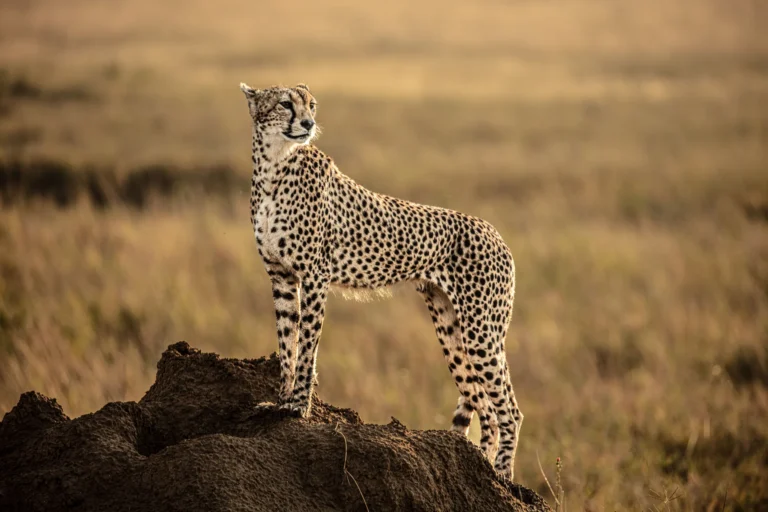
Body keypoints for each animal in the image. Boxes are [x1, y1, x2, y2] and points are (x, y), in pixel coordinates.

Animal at [240, 82, 523, 480]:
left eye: (311, 104)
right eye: (285, 104)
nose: (308, 123)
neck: (274, 164)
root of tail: (494, 232)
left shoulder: (314, 277)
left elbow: (307, 346)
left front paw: (298, 407)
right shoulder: (280, 276)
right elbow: (286, 343)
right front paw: (280, 402)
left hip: (482, 330)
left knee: (509, 410)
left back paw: (501, 477)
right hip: (451, 328)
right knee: (485, 407)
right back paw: (480, 467)